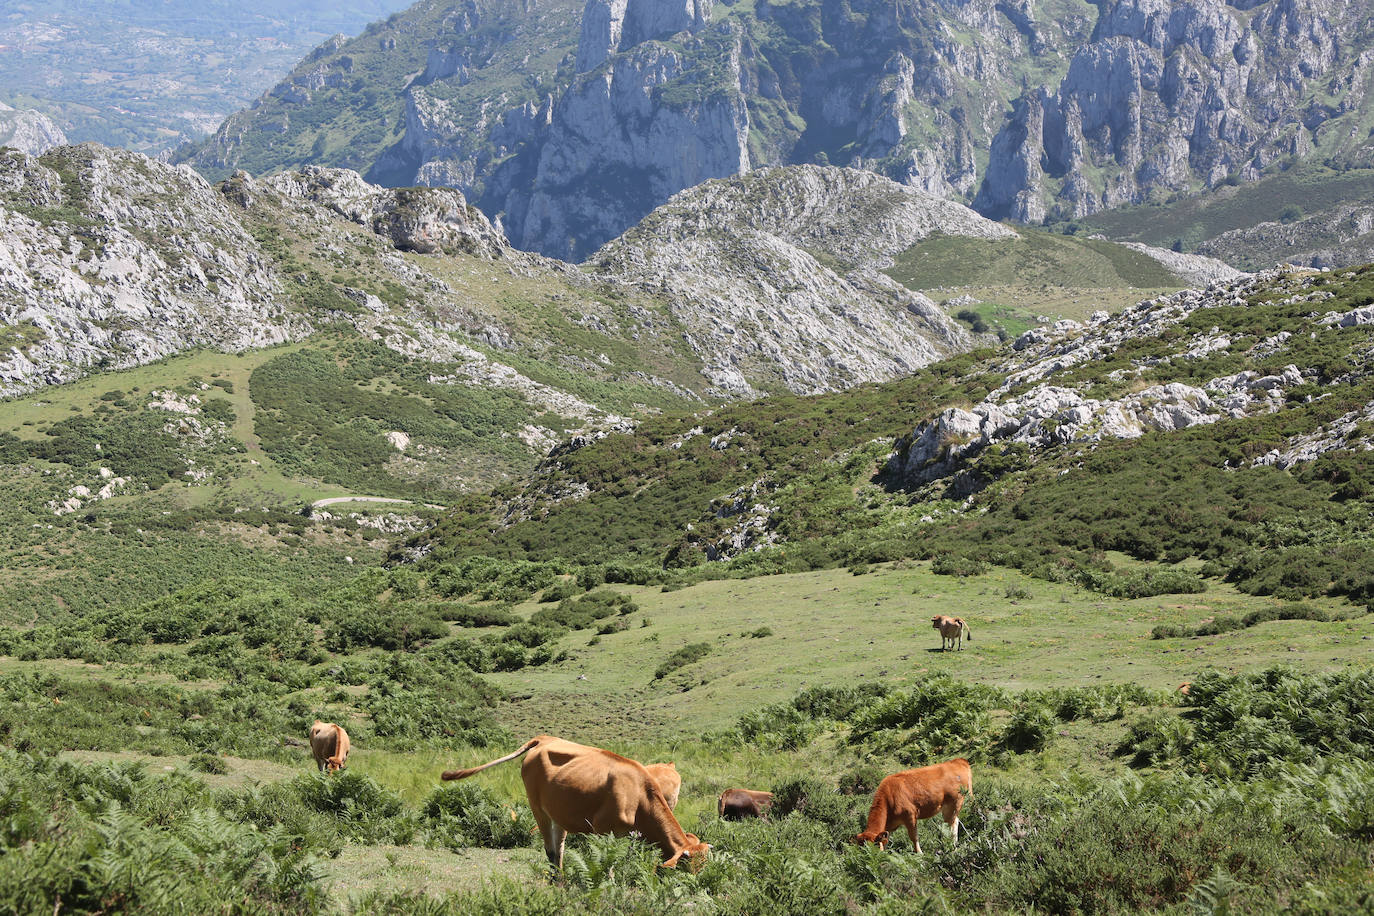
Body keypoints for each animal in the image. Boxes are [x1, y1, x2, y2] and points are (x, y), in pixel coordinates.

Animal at [445, 736, 714, 873]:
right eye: (685, 867)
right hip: (538, 809)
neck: (640, 797)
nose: (697, 886)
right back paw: (557, 882)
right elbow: (608, 863)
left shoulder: (630, 836)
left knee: (559, 848)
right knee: (550, 850)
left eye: (704, 866)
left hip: (559, 813)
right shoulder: (605, 831)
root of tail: (544, 739)